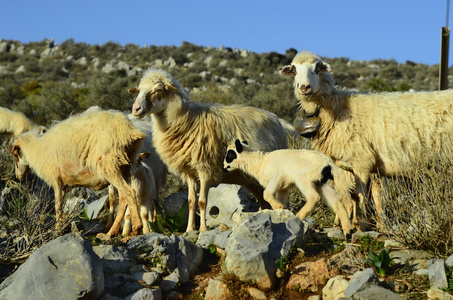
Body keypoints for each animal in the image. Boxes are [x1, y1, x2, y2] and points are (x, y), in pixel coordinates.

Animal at [9, 107, 145, 237]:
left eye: (15, 156)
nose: (17, 176)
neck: (36, 150)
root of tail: (127, 130)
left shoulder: (56, 180)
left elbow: (57, 206)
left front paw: (57, 230)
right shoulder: (64, 185)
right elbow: (62, 205)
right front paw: (62, 225)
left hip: (110, 165)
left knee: (128, 192)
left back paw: (130, 229)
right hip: (125, 167)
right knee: (123, 197)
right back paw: (115, 231)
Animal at [129, 67, 288, 232]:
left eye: (158, 90)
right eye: (138, 90)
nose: (136, 109)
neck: (187, 121)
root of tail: (276, 119)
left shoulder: (205, 169)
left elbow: (202, 202)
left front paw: (203, 229)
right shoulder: (190, 172)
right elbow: (191, 201)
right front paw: (189, 229)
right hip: (251, 179)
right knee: (262, 200)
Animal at [222, 139, 354, 236]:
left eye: (230, 154)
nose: (223, 167)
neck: (259, 163)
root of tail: (329, 163)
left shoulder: (276, 177)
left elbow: (266, 194)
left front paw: (278, 207)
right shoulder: (283, 188)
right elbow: (282, 201)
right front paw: (283, 211)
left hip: (303, 178)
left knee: (314, 197)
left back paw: (299, 217)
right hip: (321, 183)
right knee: (337, 203)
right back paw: (347, 230)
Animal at [280, 50, 453, 221]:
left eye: (317, 68)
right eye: (294, 70)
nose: (304, 87)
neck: (336, 108)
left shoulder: (361, 161)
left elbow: (359, 198)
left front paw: (357, 223)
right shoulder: (353, 166)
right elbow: (360, 197)